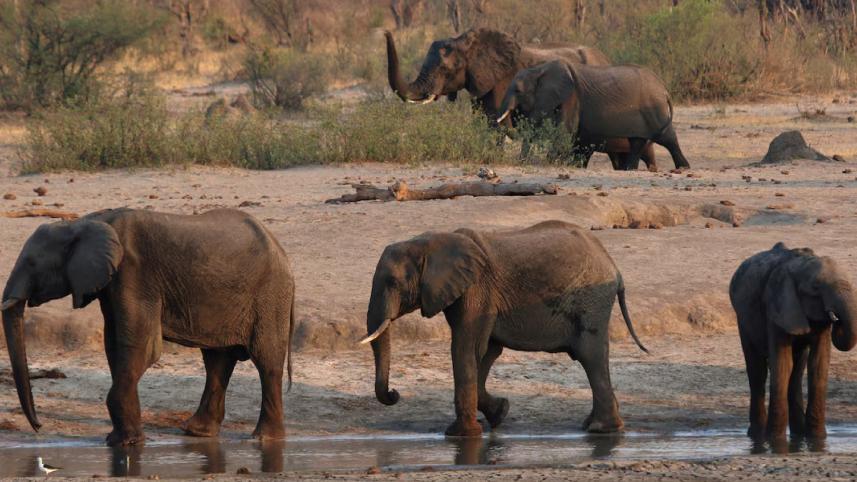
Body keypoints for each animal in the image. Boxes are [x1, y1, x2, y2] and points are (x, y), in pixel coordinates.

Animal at [1, 208, 295, 446]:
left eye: (32, 263)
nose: (38, 427)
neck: (85, 222)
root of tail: (281, 250)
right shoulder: (113, 282)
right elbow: (114, 344)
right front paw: (120, 440)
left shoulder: (134, 273)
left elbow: (141, 346)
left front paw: (126, 444)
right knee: (217, 360)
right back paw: (197, 432)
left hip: (270, 296)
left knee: (266, 361)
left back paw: (264, 438)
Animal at [360, 220, 647, 437]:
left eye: (392, 282)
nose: (395, 394)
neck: (431, 242)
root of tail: (614, 266)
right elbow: (486, 352)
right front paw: (500, 413)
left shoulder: (477, 290)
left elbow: (466, 348)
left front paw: (460, 435)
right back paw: (595, 425)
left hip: (591, 302)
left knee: (590, 355)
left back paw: (600, 429)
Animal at [496, 60, 691, 171]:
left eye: (518, 90)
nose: (521, 162)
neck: (538, 70)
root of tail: (664, 89)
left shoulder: (572, 97)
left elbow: (565, 131)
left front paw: (551, 163)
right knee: (637, 141)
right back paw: (630, 169)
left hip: (654, 110)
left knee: (667, 138)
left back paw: (683, 167)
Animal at [730, 242, 857, 441]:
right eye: (815, 287)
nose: (837, 319)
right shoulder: (777, 307)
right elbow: (782, 364)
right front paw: (775, 441)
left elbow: (818, 365)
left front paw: (817, 439)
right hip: (743, 320)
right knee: (757, 371)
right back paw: (757, 435)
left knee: (797, 372)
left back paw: (798, 433)